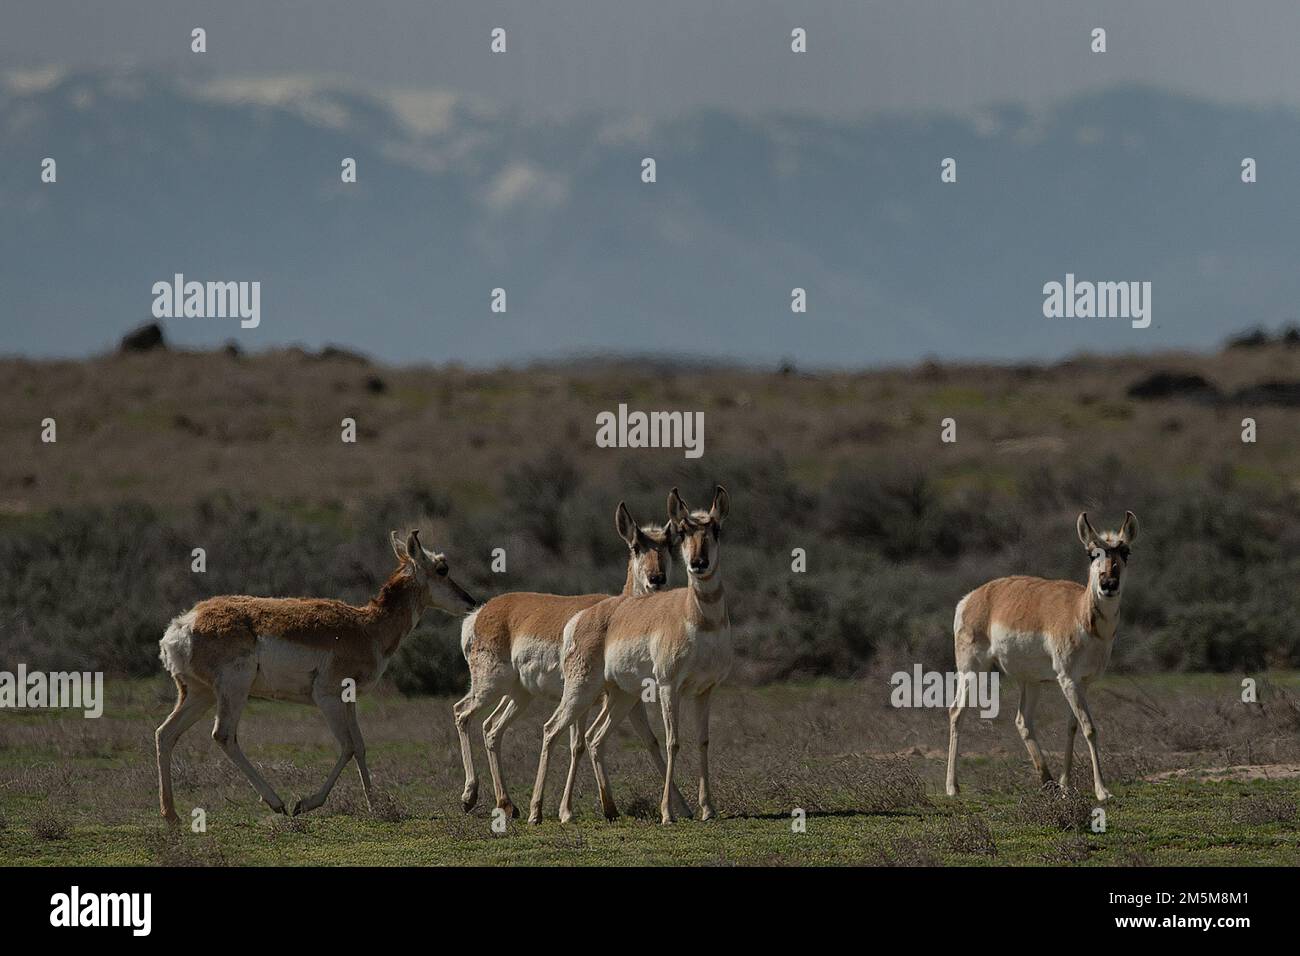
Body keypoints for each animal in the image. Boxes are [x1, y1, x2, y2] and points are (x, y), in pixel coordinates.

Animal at [153, 530, 478, 822]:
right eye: (442, 568)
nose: (471, 601)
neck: (367, 627)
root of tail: (184, 624)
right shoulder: (327, 697)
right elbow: (347, 746)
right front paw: (307, 803)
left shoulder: (349, 701)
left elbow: (360, 746)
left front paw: (375, 805)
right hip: (233, 690)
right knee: (223, 735)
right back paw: (277, 802)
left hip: (200, 694)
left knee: (165, 733)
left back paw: (172, 815)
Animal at [454, 502, 686, 822]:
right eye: (636, 546)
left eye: (668, 545)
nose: (657, 579)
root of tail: (481, 613)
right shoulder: (591, 698)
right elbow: (578, 744)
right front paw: (567, 810)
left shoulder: (628, 700)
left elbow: (650, 741)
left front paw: (685, 807)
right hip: (490, 686)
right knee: (462, 713)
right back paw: (469, 796)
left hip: (519, 695)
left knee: (491, 728)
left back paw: (507, 804)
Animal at [527, 489, 733, 827]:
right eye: (683, 530)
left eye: (715, 529)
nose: (698, 563)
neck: (699, 618)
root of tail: (583, 616)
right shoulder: (669, 687)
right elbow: (672, 742)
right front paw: (667, 813)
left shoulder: (704, 691)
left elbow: (703, 741)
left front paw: (708, 809)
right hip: (581, 692)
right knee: (552, 729)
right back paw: (537, 812)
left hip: (622, 697)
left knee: (595, 737)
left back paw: (609, 810)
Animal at [946, 512, 1138, 806]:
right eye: (1092, 553)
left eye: (1125, 551)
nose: (1108, 585)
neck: (1080, 613)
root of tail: (972, 598)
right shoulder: (1067, 680)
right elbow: (1089, 727)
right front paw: (1102, 790)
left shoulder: (1083, 682)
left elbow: (1072, 726)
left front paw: (1066, 785)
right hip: (971, 671)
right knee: (957, 712)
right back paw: (953, 787)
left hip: (1031, 682)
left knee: (1022, 720)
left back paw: (1048, 782)